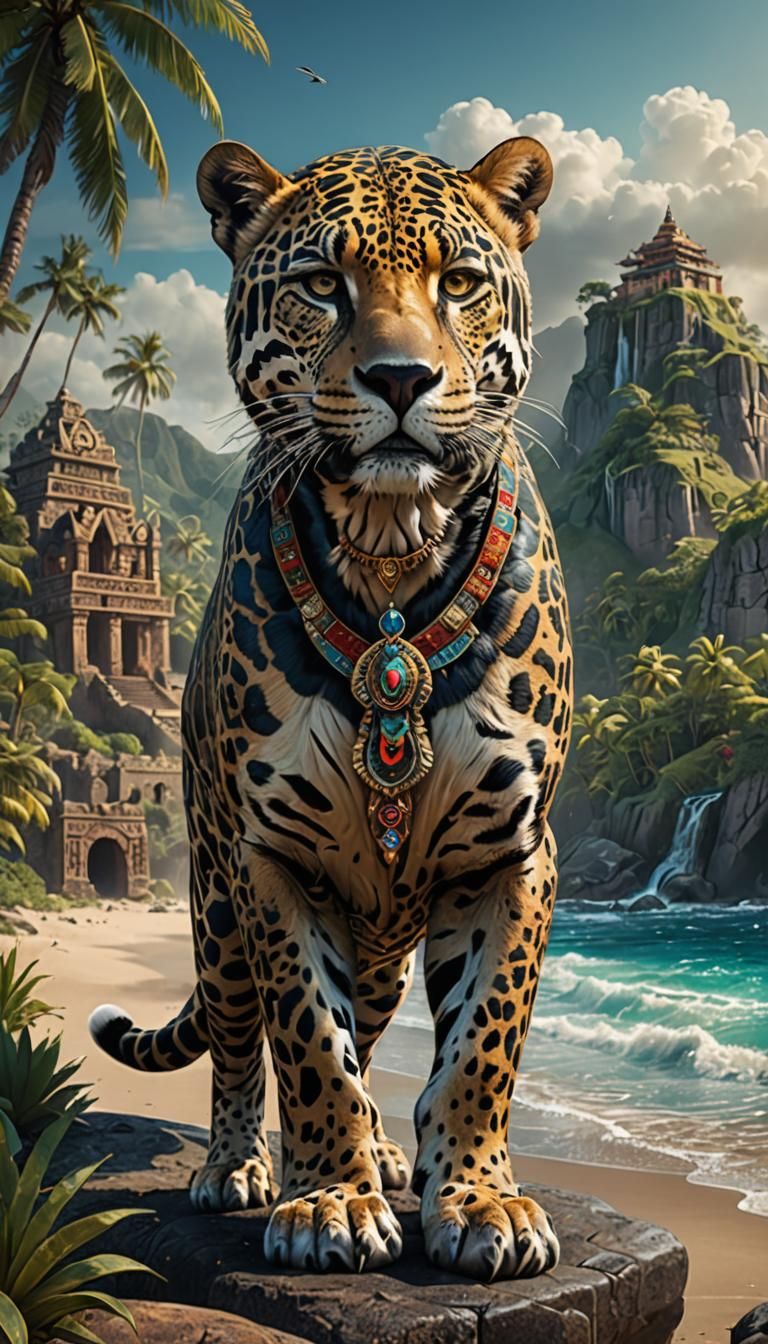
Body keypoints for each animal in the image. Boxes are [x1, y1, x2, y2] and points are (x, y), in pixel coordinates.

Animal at [89, 133, 573, 1284]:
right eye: (321, 284)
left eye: (459, 283)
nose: (400, 377)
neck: (392, 547)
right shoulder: (274, 860)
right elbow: (309, 1042)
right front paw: (329, 1204)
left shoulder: (512, 853)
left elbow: (482, 1043)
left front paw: (478, 1199)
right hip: (214, 903)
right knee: (235, 1042)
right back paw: (236, 1166)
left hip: (384, 937)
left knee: (383, 1022)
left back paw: (397, 1160)